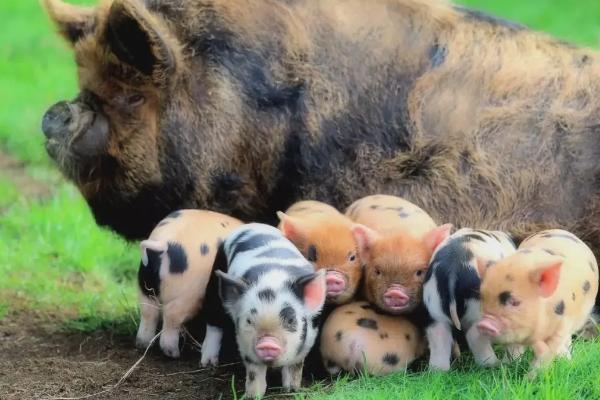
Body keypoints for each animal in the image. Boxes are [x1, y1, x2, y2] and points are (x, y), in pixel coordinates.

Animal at [134, 209, 241, 360]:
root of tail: (164, 243)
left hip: (144, 282)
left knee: (148, 311)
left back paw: (142, 344)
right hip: (189, 292)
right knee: (171, 316)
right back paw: (174, 354)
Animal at [203, 223, 326, 398]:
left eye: (290, 320)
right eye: (249, 320)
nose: (267, 343)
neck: (272, 278)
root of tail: (252, 225)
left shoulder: (308, 339)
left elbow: (295, 367)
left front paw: (292, 390)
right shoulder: (245, 344)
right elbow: (254, 373)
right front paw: (253, 396)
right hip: (215, 279)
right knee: (213, 321)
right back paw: (207, 363)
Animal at [424, 227, 516, 370]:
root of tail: (453, 268)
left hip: (434, 305)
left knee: (438, 337)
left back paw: (439, 371)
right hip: (476, 307)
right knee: (476, 337)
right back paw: (494, 364)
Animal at [476, 230, 596, 374]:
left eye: (515, 302)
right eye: (483, 297)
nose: (484, 324)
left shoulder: (562, 325)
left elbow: (548, 351)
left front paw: (532, 376)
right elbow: (513, 348)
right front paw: (506, 367)